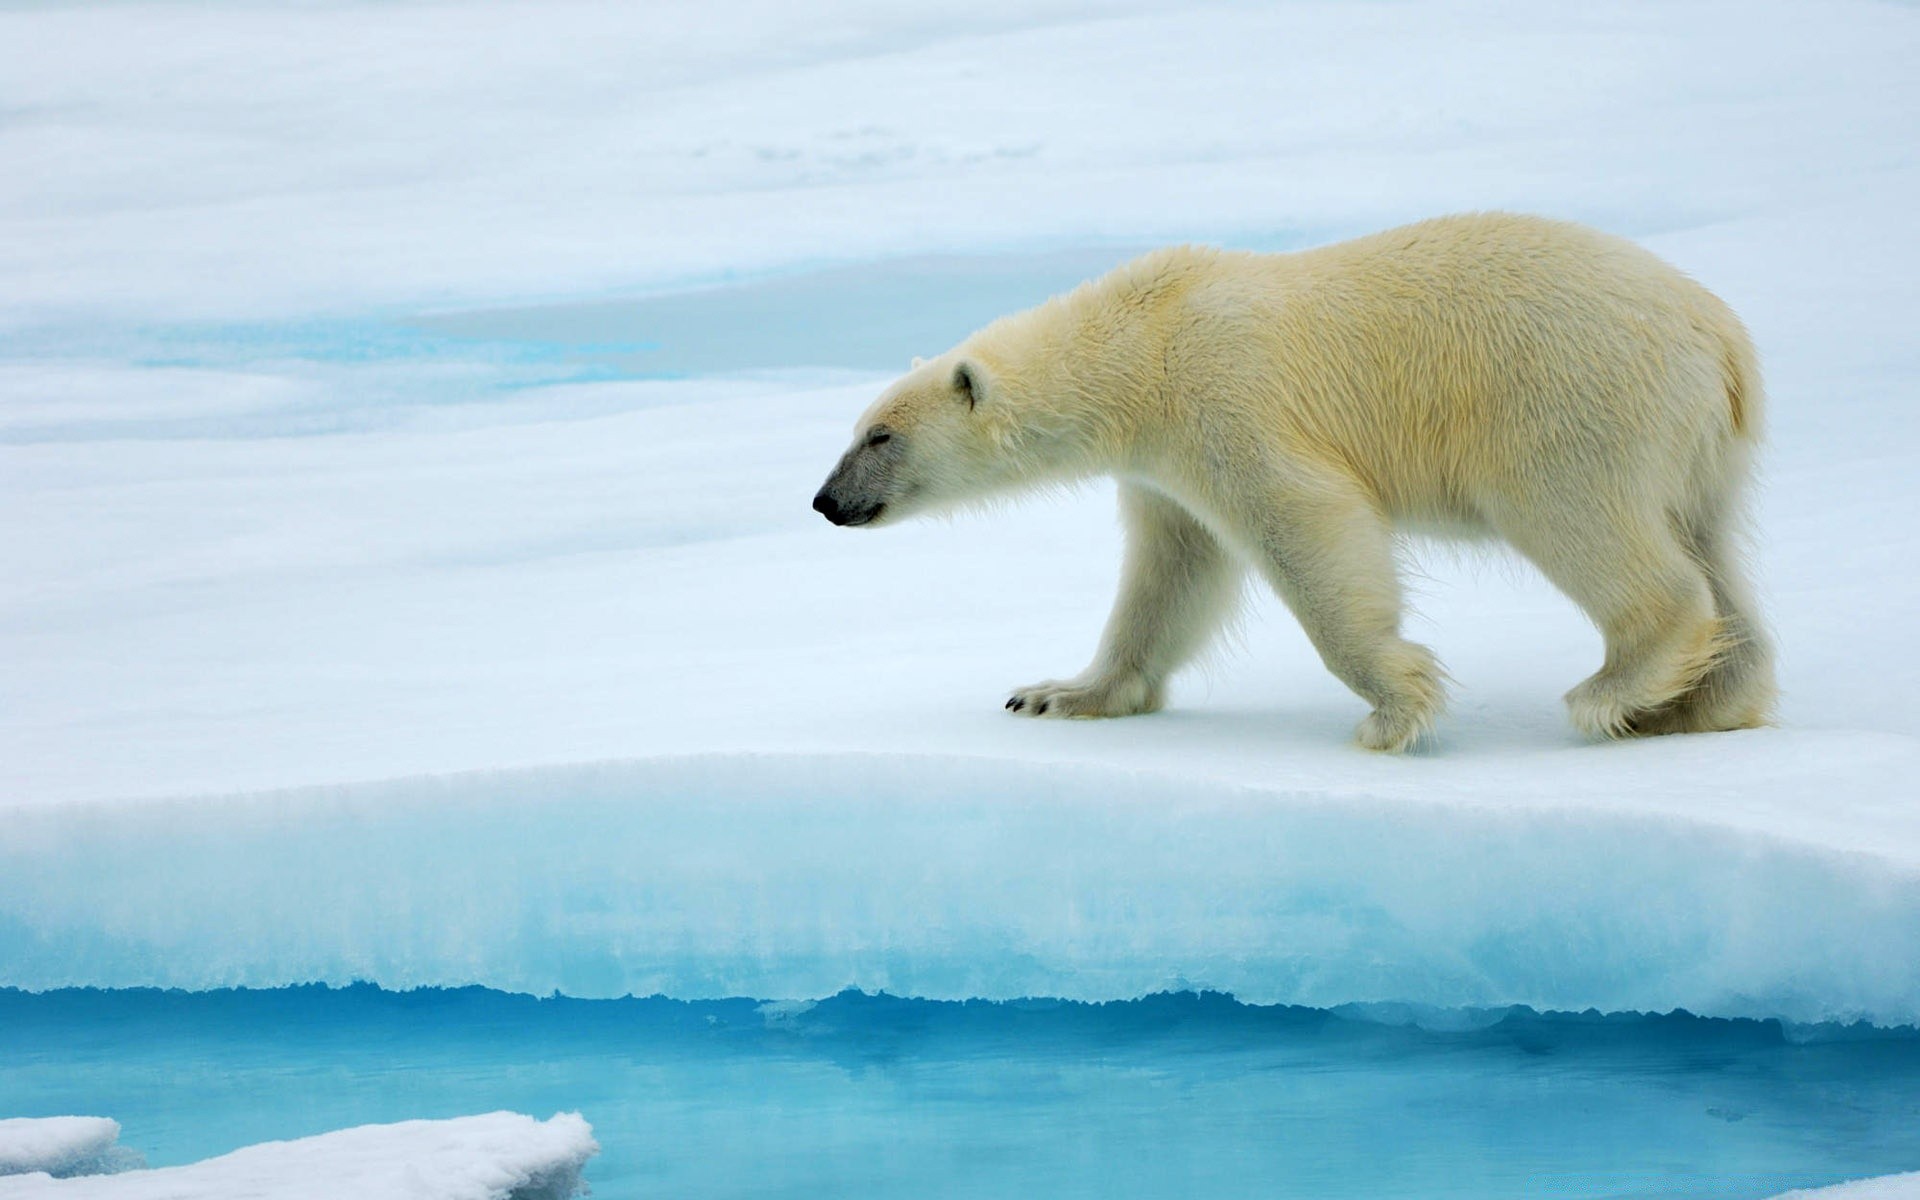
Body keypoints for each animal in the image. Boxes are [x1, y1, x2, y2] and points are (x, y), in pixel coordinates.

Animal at [812, 212, 1776, 751]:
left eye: (881, 435)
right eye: (855, 430)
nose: (825, 502)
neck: (1141, 342)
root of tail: (1722, 338)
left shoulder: (1226, 399)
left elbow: (1305, 525)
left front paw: (1395, 707)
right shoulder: (1162, 467)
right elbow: (1170, 573)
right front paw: (1056, 694)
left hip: (1569, 402)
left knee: (1589, 527)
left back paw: (1615, 690)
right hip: (1697, 446)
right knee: (1712, 547)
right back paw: (1701, 703)